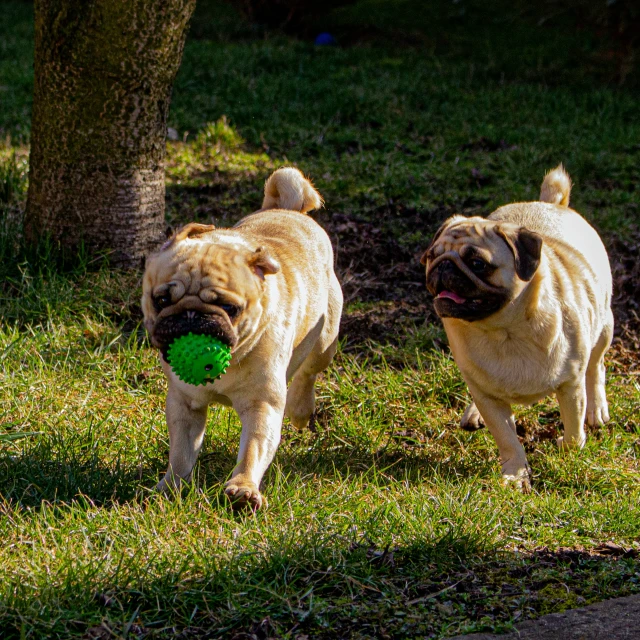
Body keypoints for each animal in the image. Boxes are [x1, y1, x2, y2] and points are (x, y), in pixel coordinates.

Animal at [142, 168, 342, 508]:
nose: (192, 315)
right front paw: (171, 487)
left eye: (229, 308)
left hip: (324, 340)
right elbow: (181, 454)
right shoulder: (184, 406)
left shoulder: (263, 405)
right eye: (162, 300)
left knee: (308, 373)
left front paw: (243, 488)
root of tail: (288, 208)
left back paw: (301, 410)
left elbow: (252, 450)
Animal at [422, 166, 612, 490]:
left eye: (478, 263)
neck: (504, 331)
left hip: (604, 326)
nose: (444, 265)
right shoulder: (487, 395)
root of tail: (551, 204)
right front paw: (515, 474)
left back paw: (596, 408)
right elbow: (508, 439)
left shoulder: (570, 385)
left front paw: (569, 451)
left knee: (596, 366)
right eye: (433, 255)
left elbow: (574, 427)